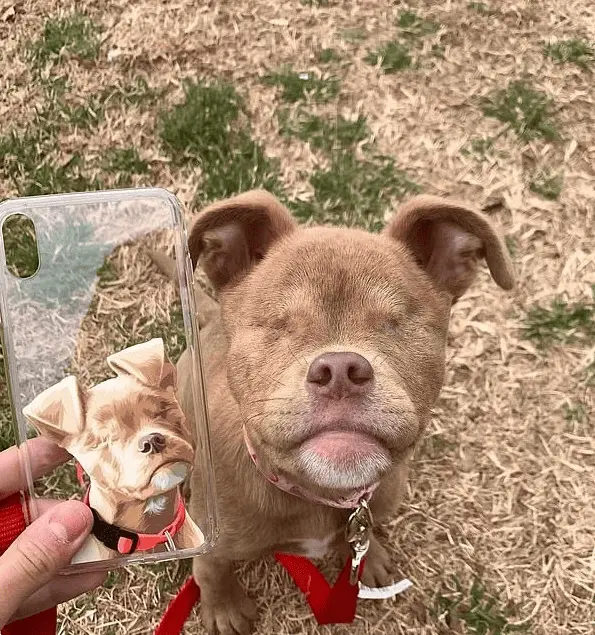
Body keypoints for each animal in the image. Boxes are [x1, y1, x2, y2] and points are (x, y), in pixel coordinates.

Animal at [166, 190, 512, 635]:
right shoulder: (216, 542)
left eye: (395, 323)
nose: (341, 370)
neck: (319, 495)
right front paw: (223, 606)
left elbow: (363, 535)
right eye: (281, 324)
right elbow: (210, 569)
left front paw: (370, 556)